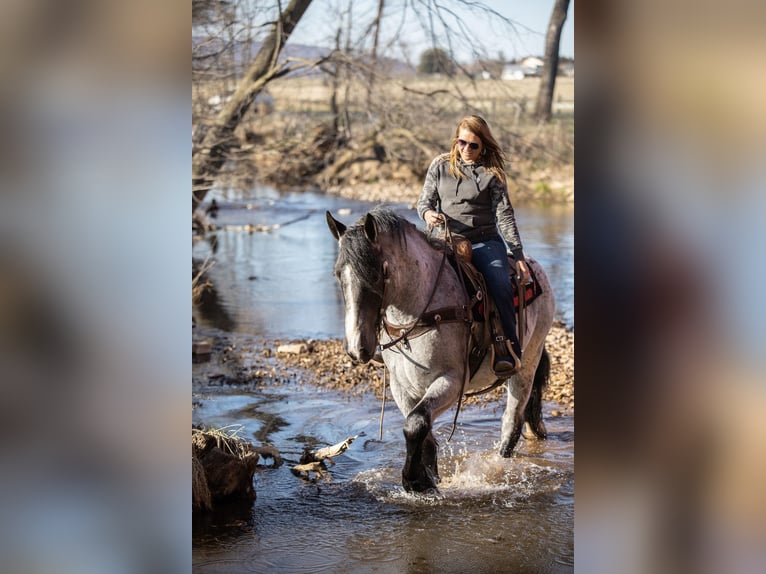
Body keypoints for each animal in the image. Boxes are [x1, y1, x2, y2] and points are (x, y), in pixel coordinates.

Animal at [326, 208, 560, 496]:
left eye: (376, 275)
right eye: (338, 274)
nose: (356, 348)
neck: (419, 313)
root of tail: (533, 268)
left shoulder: (451, 381)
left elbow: (415, 424)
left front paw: (416, 481)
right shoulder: (402, 387)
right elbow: (421, 429)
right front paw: (429, 476)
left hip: (527, 364)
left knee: (511, 421)